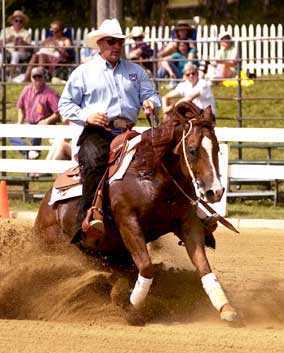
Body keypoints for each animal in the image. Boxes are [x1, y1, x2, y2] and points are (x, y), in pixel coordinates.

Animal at [33, 100, 237, 324]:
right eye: (192, 150)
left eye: (217, 148)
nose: (215, 191)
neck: (149, 175)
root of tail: (45, 208)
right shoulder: (128, 222)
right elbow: (146, 266)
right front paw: (131, 308)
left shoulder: (187, 222)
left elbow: (203, 266)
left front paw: (225, 307)